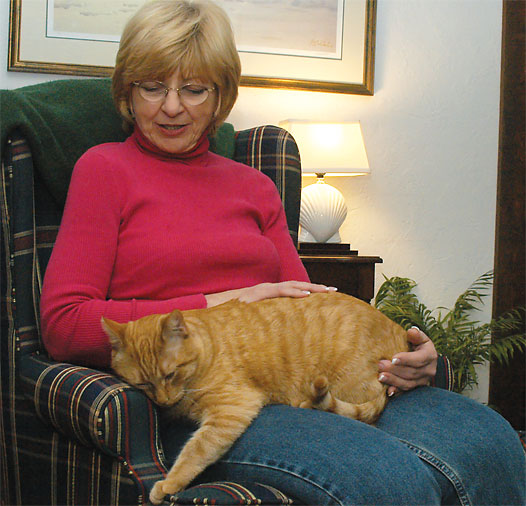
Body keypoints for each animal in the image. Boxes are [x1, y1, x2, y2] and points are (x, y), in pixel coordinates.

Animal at [101, 290, 410, 504]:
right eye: (143, 384)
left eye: (170, 375)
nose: (163, 400)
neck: (205, 351)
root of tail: (401, 334)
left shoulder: (231, 409)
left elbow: (195, 452)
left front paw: (168, 484)